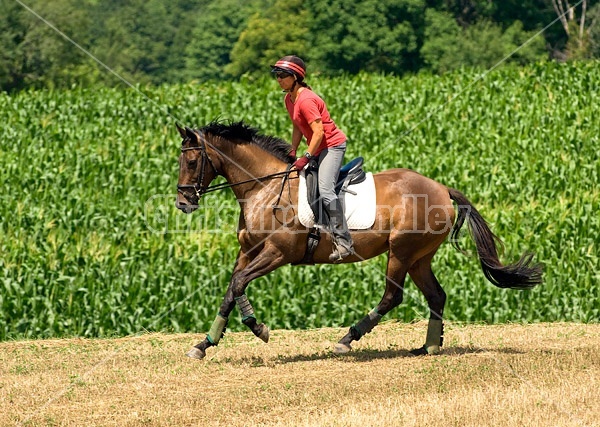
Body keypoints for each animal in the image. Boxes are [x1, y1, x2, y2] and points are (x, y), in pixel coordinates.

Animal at [175, 122, 544, 360]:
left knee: (393, 296)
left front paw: (258, 328)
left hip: (401, 252)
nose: (182, 203)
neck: (263, 187)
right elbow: (231, 289)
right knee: (436, 296)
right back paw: (430, 347)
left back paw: (347, 339)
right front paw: (204, 344)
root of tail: (441, 188)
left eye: (192, 161)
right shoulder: (247, 252)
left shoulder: (277, 253)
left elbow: (239, 284)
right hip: (419, 257)